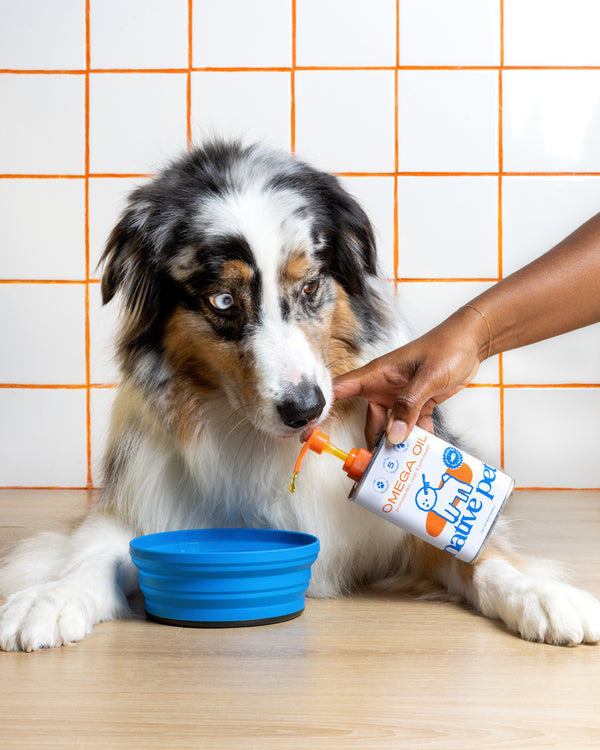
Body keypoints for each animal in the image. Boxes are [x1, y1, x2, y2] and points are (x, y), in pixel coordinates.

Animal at [1, 142, 600, 652]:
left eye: (310, 286)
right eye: (222, 301)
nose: (304, 410)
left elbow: (484, 556)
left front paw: (544, 597)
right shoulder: (139, 501)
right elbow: (91, 556)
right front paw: (47, 600)